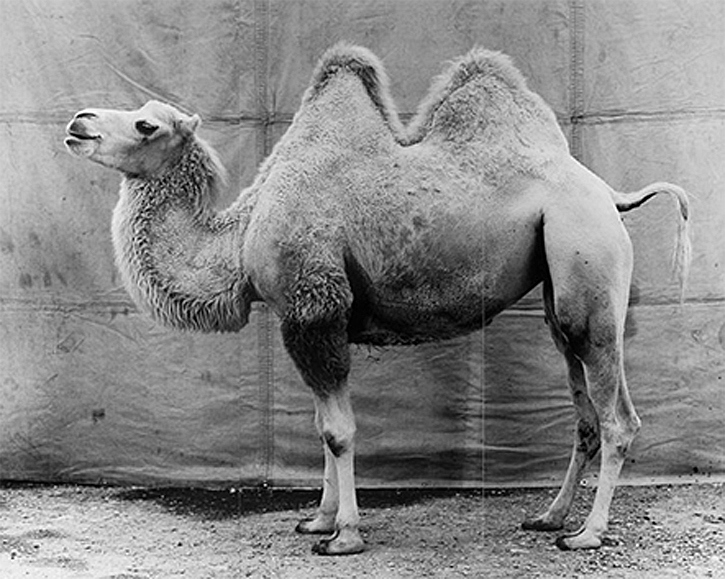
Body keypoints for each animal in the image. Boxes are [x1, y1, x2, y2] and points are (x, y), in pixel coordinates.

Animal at [65, 44, 691, 555]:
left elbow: (338, 431)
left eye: (146, 124)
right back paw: (549, 517)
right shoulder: (313, 318)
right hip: (561, 291)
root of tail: (610, 193)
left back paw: (588, 533)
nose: (78, 122)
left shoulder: (314, 306)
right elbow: (321, 425)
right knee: (582, 401)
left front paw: (344, 535)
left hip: (590, 266)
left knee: (618, 416)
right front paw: (317, 520)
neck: (240, 238)